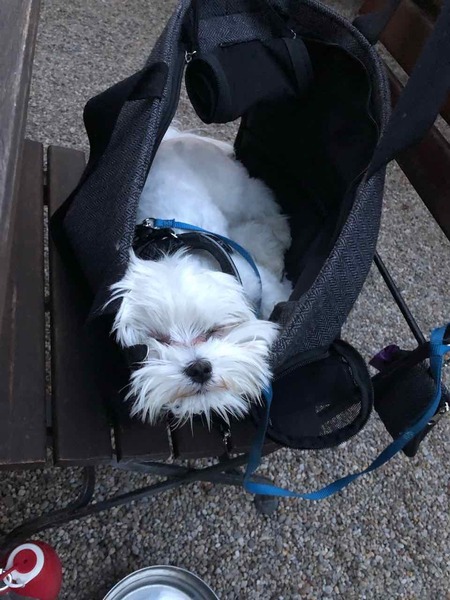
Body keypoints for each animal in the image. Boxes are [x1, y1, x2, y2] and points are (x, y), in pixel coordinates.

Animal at [109, 127, 292, 426]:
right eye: (159, 339)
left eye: (215, 330)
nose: (198, 368)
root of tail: (172, 138)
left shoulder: (256, 280)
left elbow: (274, 297)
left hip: (234, 193)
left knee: (262, 202)